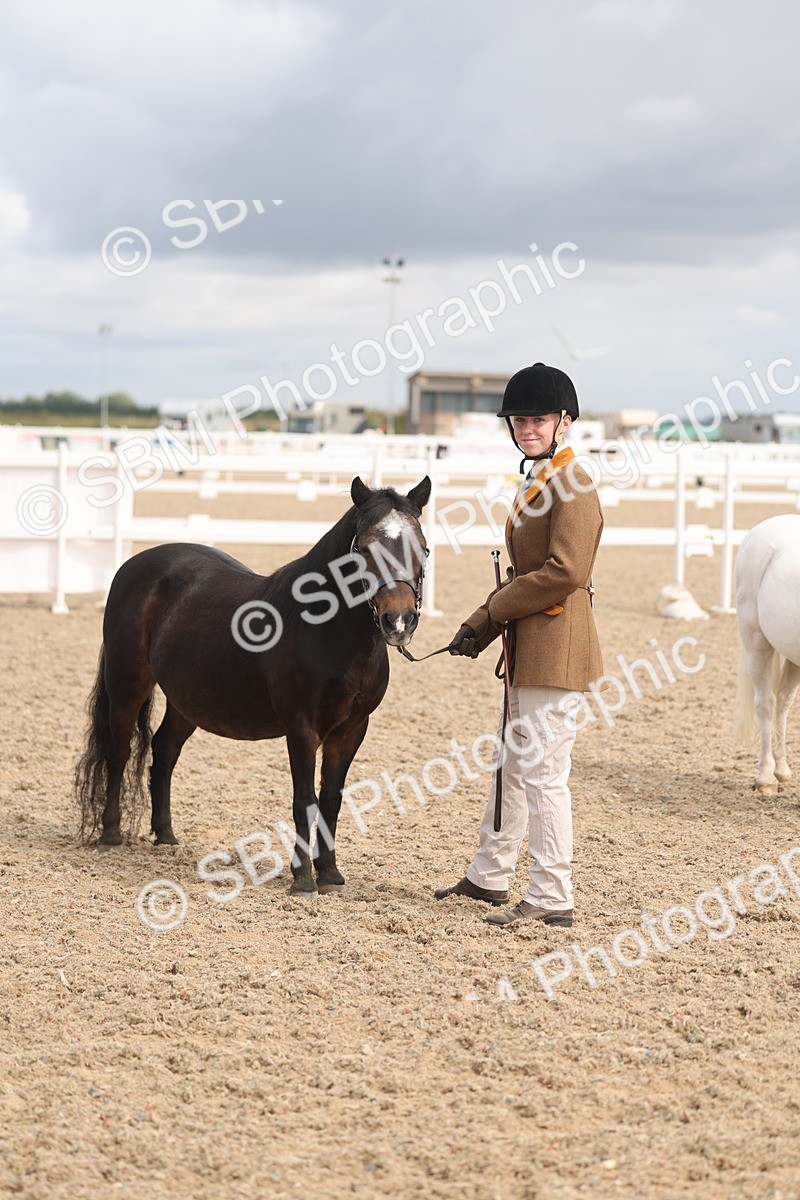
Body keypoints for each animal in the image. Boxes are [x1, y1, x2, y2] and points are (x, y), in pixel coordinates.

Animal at [76, 475, 431, 894]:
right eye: (364, 547)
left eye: (422, 546)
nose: (399, 621)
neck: (327, 630)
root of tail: (134, 565)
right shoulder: (302, 728)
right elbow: (304, 800)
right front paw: (303, 879)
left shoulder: (352, 729)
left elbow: (331, 799)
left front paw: (330, 873)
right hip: (127, 681)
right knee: (119, 750)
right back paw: (111, 834)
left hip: (187, 699)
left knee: (164, 751)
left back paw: (165, 835)